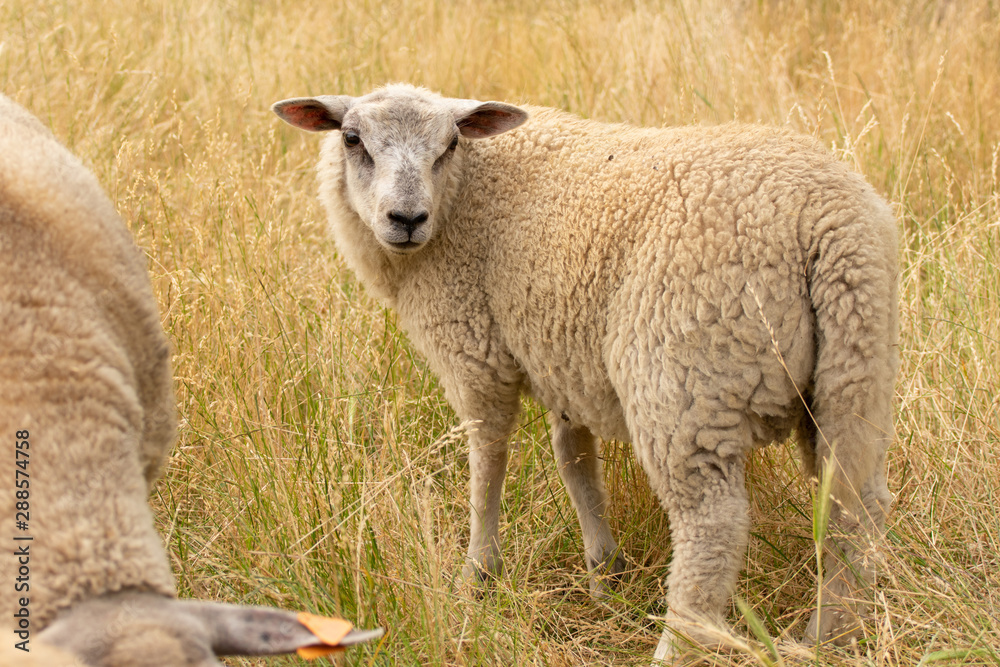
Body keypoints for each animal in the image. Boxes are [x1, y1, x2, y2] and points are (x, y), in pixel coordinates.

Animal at [272, 83, 898, 661]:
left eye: (449, 145)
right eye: (352, 140)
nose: (406, 219)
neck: (463, 195)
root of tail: (830, 221)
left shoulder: (474, 352)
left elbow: (487, 462)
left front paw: (478, 576)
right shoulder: (560, 355)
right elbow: (574, 460)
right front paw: (605, 574)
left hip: (684, 381)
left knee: (712, 525)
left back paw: (677, 645)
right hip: (855, 376)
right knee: (855, 509)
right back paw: (829, 638)